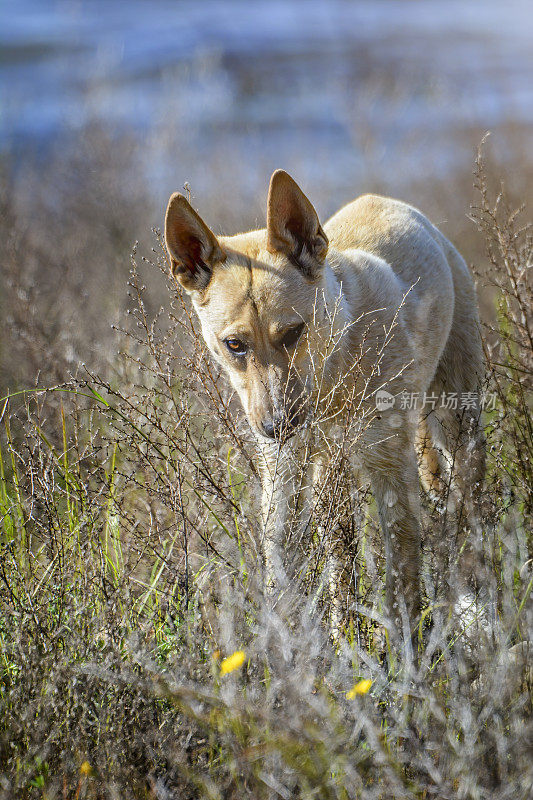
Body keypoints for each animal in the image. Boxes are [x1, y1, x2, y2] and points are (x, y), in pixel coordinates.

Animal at [164, 172, 484, 636]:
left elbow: (403, 584)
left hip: (459, 432)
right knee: (341, 557)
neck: (333, 370)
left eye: (293, 332)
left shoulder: (391, 472)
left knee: (470, 524)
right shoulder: (283, 477)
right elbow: (281, 569)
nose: (277, 426)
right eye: (234, 344)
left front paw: (409, 649)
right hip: (330, 475)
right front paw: (288, 644)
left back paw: (474, 608)